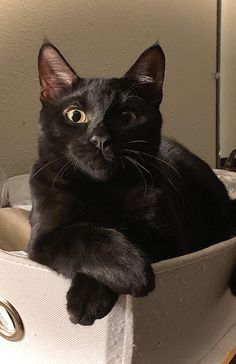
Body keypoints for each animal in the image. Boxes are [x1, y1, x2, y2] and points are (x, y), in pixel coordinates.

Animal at [28, 42, 236, 324]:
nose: (100, 140)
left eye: (127, 117)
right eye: (75, 115)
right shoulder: (42, 238)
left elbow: (132, 235)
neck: (103, 189)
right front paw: (126, 270)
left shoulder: (171, 240)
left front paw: (99, 288)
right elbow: (81, 234)